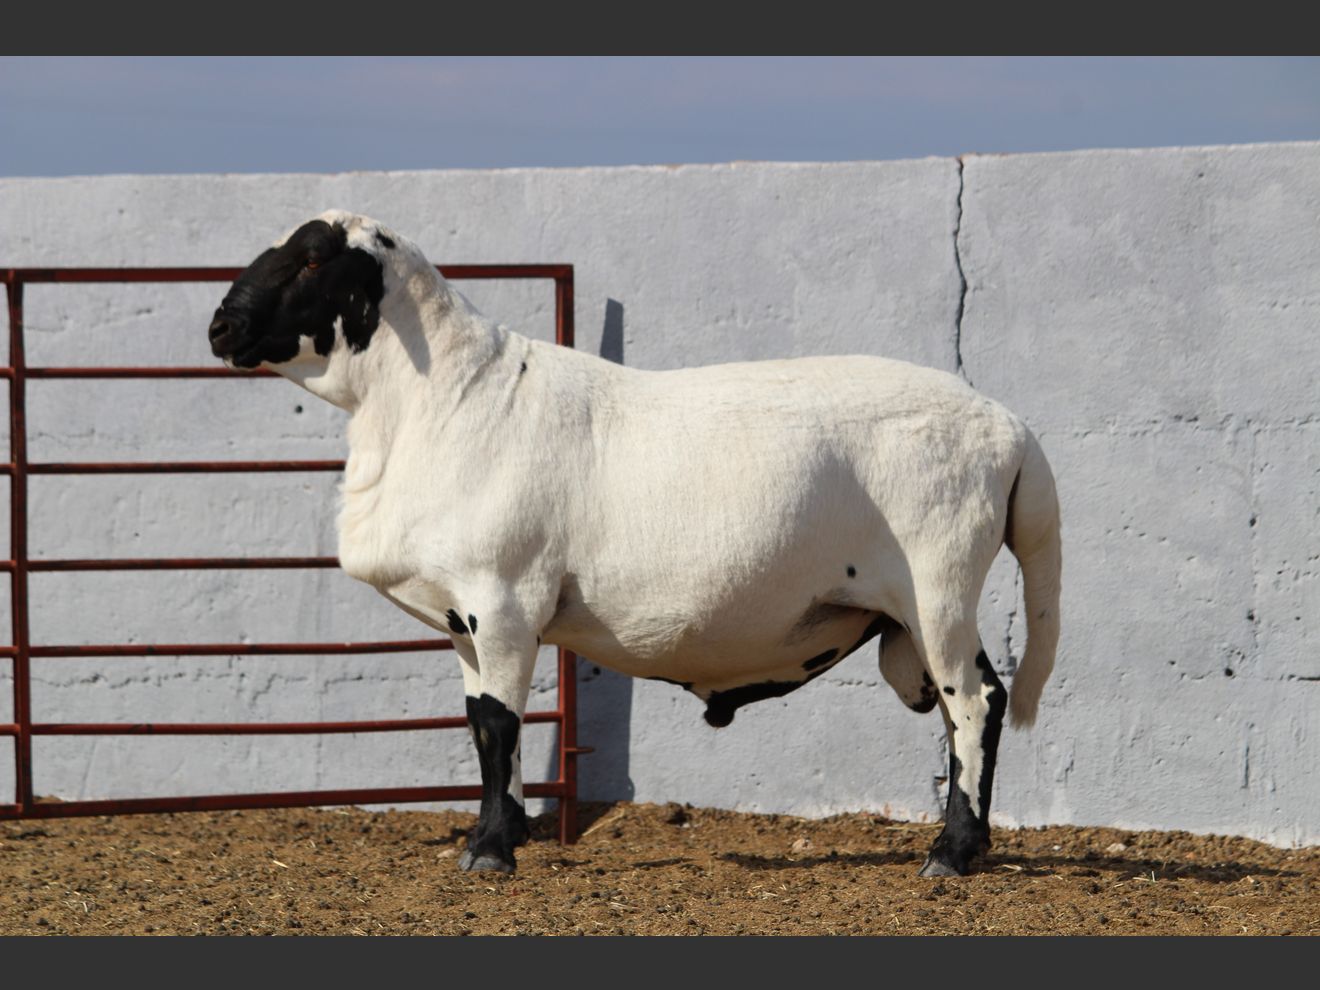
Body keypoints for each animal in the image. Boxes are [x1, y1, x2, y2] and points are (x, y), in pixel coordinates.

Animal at [206, 209, 1062, 877]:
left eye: (313, 256)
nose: (220, 326)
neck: (443, 399)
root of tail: (1010, 427)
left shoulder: (502, 600)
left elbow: (500, 724)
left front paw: (490, 851)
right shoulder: (461, 618)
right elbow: (481, 721)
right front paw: (499, 833)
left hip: (938, 585)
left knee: (975, 703)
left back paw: (952, 852)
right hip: (918, 611)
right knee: (966, 700)